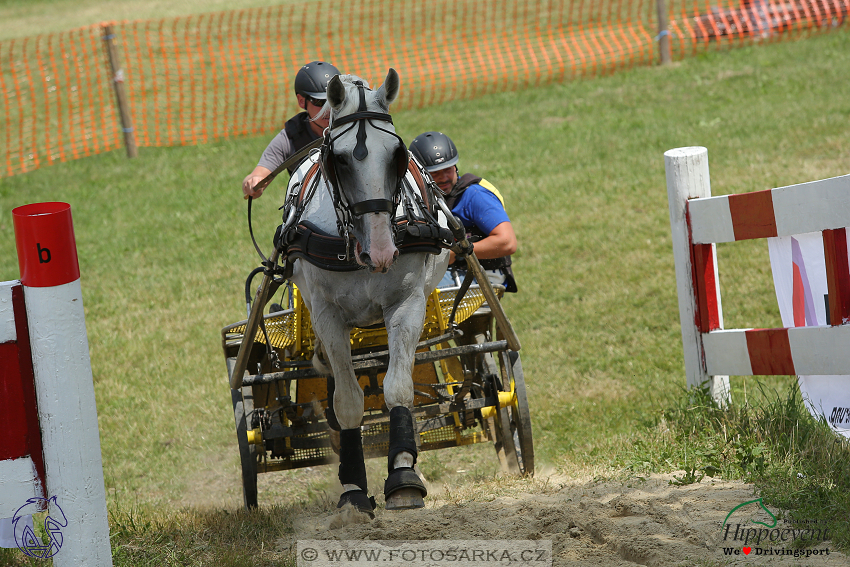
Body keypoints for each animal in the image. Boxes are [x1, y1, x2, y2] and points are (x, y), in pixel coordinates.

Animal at [288, 70, 450, 516]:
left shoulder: (407, 305)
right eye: (340, 159)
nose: (380, 251)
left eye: (397, 154)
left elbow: (398, 389)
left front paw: (404, 475)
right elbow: (347, 402)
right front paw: (353, 489)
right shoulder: (326, 316)